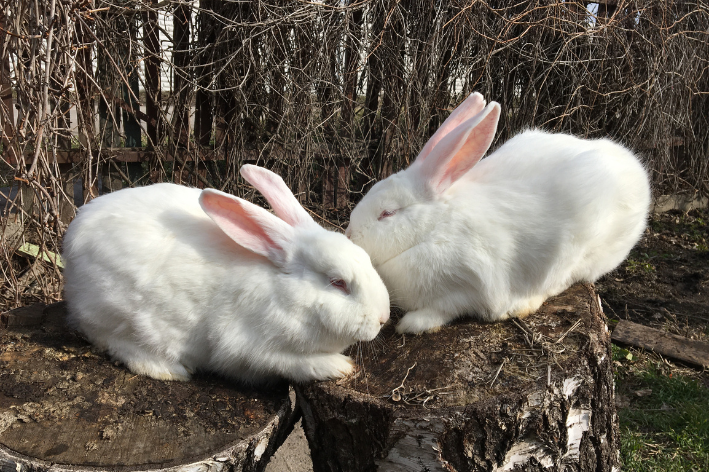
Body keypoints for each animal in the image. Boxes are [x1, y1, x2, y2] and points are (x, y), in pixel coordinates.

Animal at [63, 165, 390, 384]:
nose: (383, 318)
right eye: (338, 282)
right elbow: (290, 363)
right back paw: (170, 370)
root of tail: (72, 238)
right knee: (114, 343)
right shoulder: (246, 347)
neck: (282, 292)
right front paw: (338, 366)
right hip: (119, 315)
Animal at [346, 92, 648, 334]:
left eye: (387, 213)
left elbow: (444, 310)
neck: (434, 229)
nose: (349, 235)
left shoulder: (467, 288)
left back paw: (524, 303)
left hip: (580, 254)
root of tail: (634, 167)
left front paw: (412, 324)